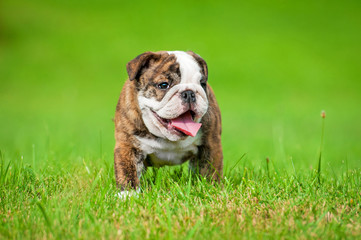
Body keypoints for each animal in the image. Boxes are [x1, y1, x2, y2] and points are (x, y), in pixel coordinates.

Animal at [114, 51, 222, 193]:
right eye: (163, 85)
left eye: (202, 84)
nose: (189, 93)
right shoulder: (127, 145)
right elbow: (127, 170)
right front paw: (128, 194)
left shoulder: (211, 143)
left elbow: (210, 169)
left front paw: (211, 188)